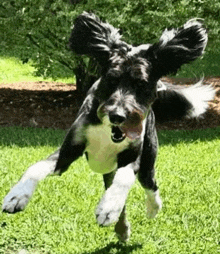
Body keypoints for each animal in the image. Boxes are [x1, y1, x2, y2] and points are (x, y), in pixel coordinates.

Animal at [1, 12, 215, 242]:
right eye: (111, 80)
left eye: (141, 84)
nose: (118, 116)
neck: (106, 130)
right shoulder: (68, 150)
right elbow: (36, 167)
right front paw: (17, 195)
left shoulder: (134, 155)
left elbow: (125, 177)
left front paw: (109, 206)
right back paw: (121, 226)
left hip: (148, 158)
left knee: (150, 184)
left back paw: (149, 208)